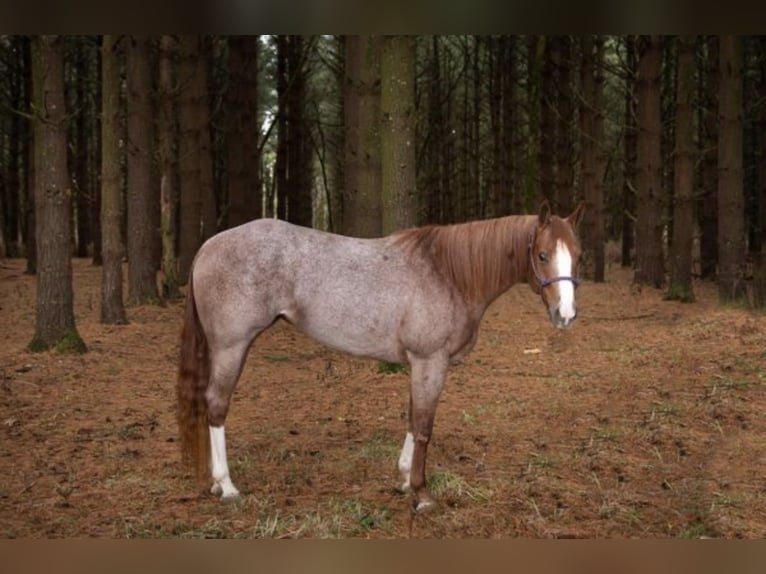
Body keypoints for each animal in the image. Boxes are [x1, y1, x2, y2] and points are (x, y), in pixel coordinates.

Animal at [178, 201, 588, 512]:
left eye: (578, 256)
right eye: (542, 255)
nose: (565, 315)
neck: (448, 273)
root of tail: (208, 245)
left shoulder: (419, 364)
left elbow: (412, 417)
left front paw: (404, 479)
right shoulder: (430, 361)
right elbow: (423, 426)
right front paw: (422, 493)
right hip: (232, 346)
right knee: (216, 405)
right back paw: (227, 486)